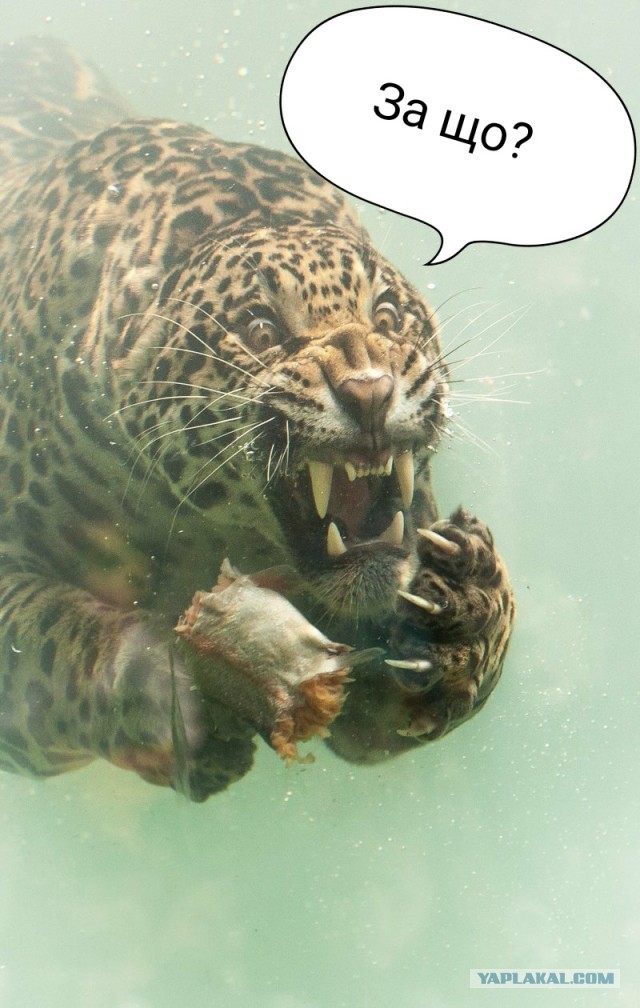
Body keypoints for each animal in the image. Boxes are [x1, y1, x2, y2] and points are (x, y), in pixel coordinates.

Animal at [0, 38, 515, 801]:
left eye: (387, 315)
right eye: (262, 329)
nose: (369, 391)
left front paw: (466, 611)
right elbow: (52, 640)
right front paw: (161, 692)